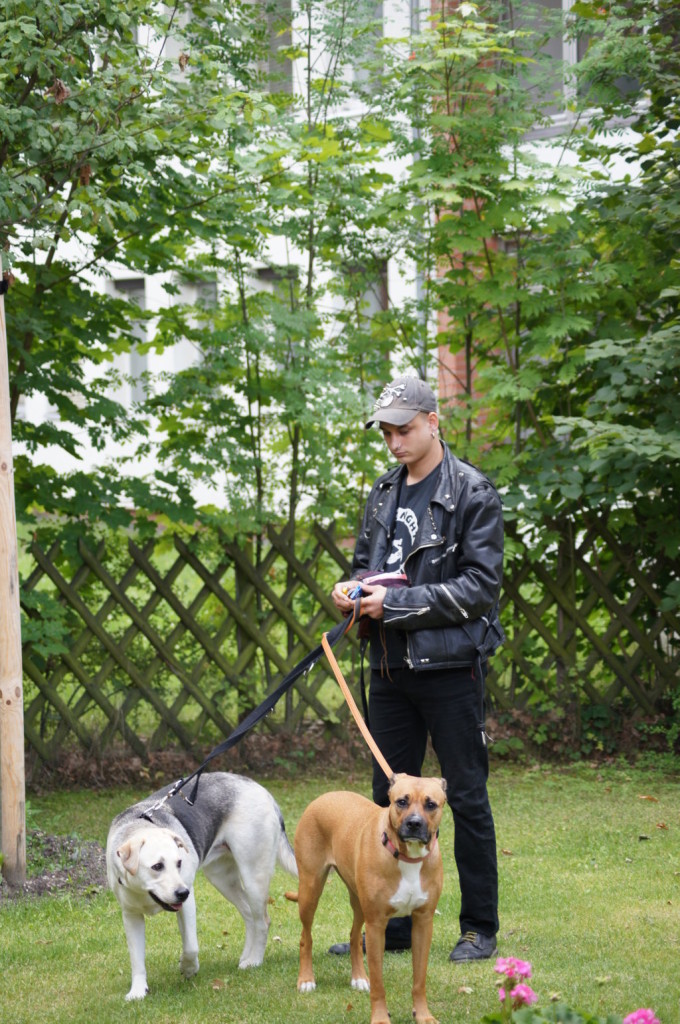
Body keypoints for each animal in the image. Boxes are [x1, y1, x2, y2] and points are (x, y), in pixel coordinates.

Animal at [106, 771, 298, 1000]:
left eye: (179, 863)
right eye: (157, 866)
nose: (182, 892)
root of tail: (261, 790)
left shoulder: (187, 905)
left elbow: (191, 947)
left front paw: (188, 968)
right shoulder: (131, 915)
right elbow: (136, 959)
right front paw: (137, 991)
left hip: (253, 876)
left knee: (263, 921)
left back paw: (255, 961)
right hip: (222, 878)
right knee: (249, 915)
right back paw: (246, 957)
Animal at [293, 773, 447, 1024]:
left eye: (431, 804)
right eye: (401, 802)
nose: (414, 823)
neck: (407, 857)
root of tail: (324, 796)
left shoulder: (423, 922)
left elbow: (419, 979)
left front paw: (423, 1014)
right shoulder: (376, 925)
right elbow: (378, 984)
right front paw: (380, 1017)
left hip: (358, 902)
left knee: (355, 936)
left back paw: (358, 977)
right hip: (310, 890)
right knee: (306, 937)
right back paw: (306, 979)